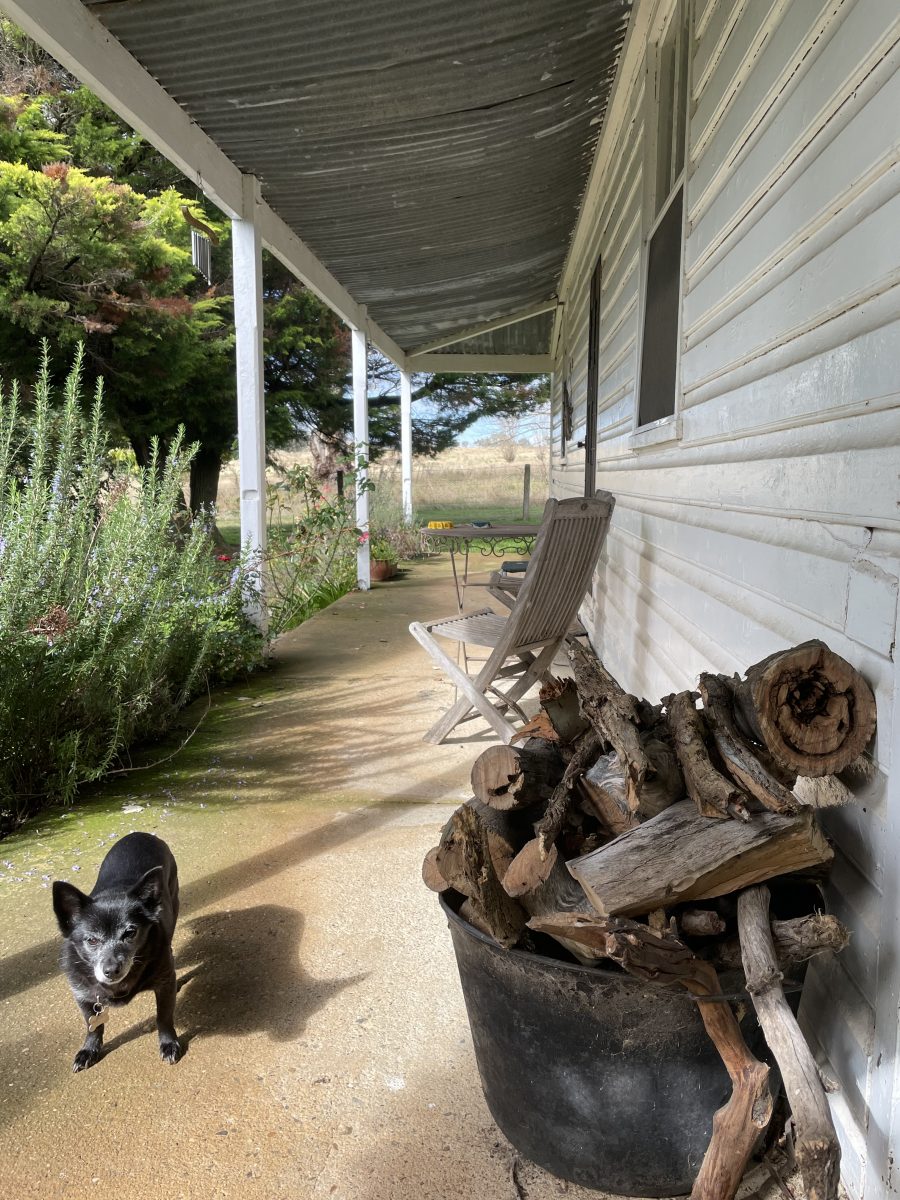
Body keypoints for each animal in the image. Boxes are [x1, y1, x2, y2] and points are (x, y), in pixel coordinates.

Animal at [52, 830, 183, 1075]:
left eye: (130, 933)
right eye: (92, 940)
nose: (111, 969)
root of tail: (141, 834)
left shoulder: (163, 985)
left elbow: (164, 1016)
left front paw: (169, 1043)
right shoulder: (83, 996)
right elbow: (92, 1026)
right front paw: (89, 1050)